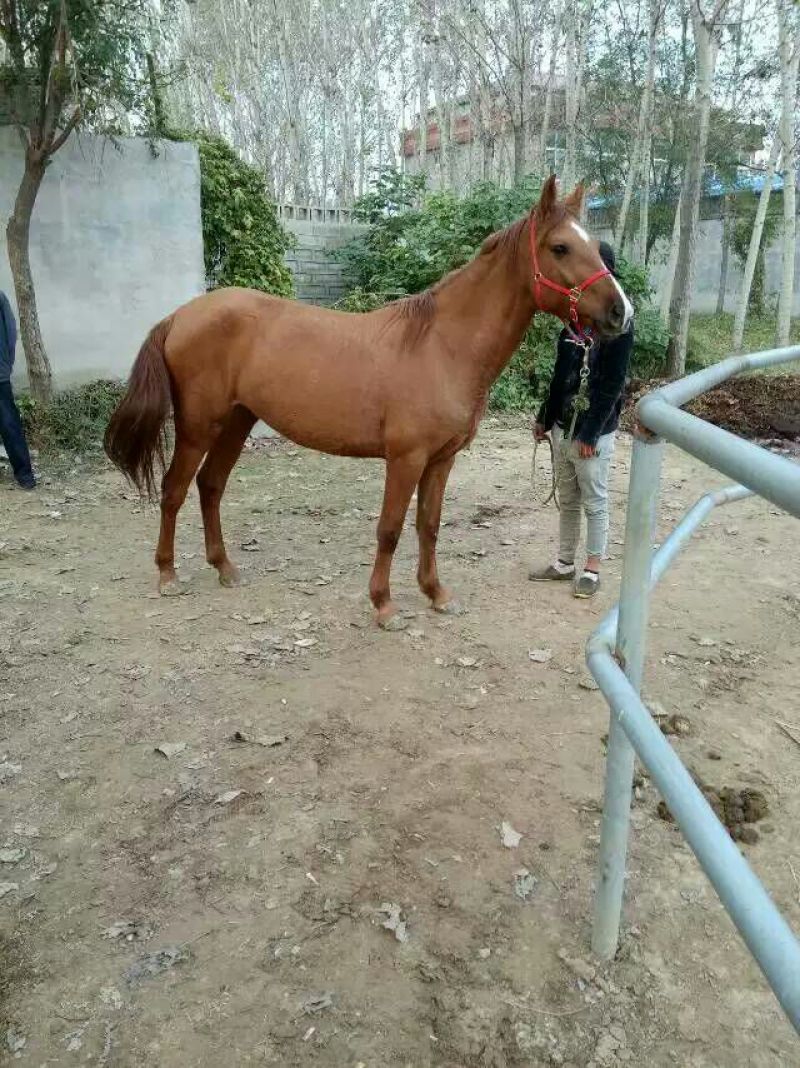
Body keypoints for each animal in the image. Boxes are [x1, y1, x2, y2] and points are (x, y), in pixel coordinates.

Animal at [104, 175, 632, 627]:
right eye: (560, 246)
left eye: (593, 245)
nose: (621, 312)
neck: (442, 345)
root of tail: (179, 316)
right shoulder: (405, 459)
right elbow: (391, 529)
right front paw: (384, 605)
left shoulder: (440, 460)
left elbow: (429, 526)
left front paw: (436, 594)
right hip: (198, 426)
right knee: (174, 490)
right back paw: (168, 574)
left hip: (237, 421)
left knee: (210, 486)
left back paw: (225, 568)